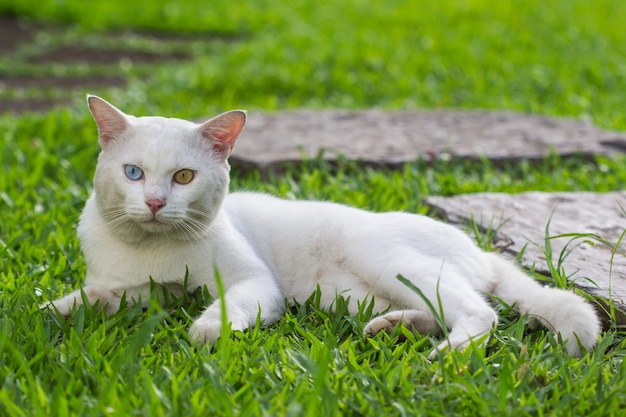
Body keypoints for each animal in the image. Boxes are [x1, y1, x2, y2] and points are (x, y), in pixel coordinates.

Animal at [44, 96, 600, 356]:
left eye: (183, 176)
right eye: (133, 173)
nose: (156, 202)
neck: (151, 251)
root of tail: (480, 249)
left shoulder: (255, 283)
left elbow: (230, 305)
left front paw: (207, 328)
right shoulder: (137, 290)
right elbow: (96, 298)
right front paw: (53, 312)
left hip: (383, 256)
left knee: (480, 313)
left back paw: (444, 358)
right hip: (349, 294)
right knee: (439, 310)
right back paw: (393, 329)